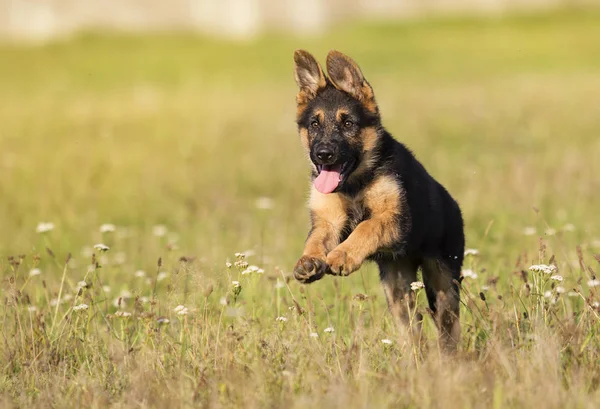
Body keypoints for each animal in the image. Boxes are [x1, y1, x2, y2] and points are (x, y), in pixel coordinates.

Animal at [292, 49, 466, 350]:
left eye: (348, 123)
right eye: (314, 124)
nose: (323, 154)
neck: (354, 183)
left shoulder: (396, 220)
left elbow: (367, 226)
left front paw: (343, 255)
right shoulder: (328, 222)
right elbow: (316, 239)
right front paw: (309, 261)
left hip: (442, 283)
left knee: (448, 328)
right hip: (397, 289)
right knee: (412, 327)